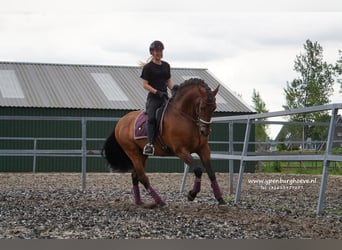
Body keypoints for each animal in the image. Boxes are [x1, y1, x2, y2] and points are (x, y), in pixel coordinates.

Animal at [101, 78, 226, 207]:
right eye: (202, 107)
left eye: (214, 108)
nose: (205, 131)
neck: (184, 116)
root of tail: (120, 122)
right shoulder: (181, 151)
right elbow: (198, 170)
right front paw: (192, 194)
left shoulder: (203, 149)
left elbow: (211, 172)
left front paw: (220, 199)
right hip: (132, 152)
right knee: (142, 177)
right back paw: (160, 201)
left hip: (142, 154)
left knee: (135, 176)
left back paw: (139, 202)